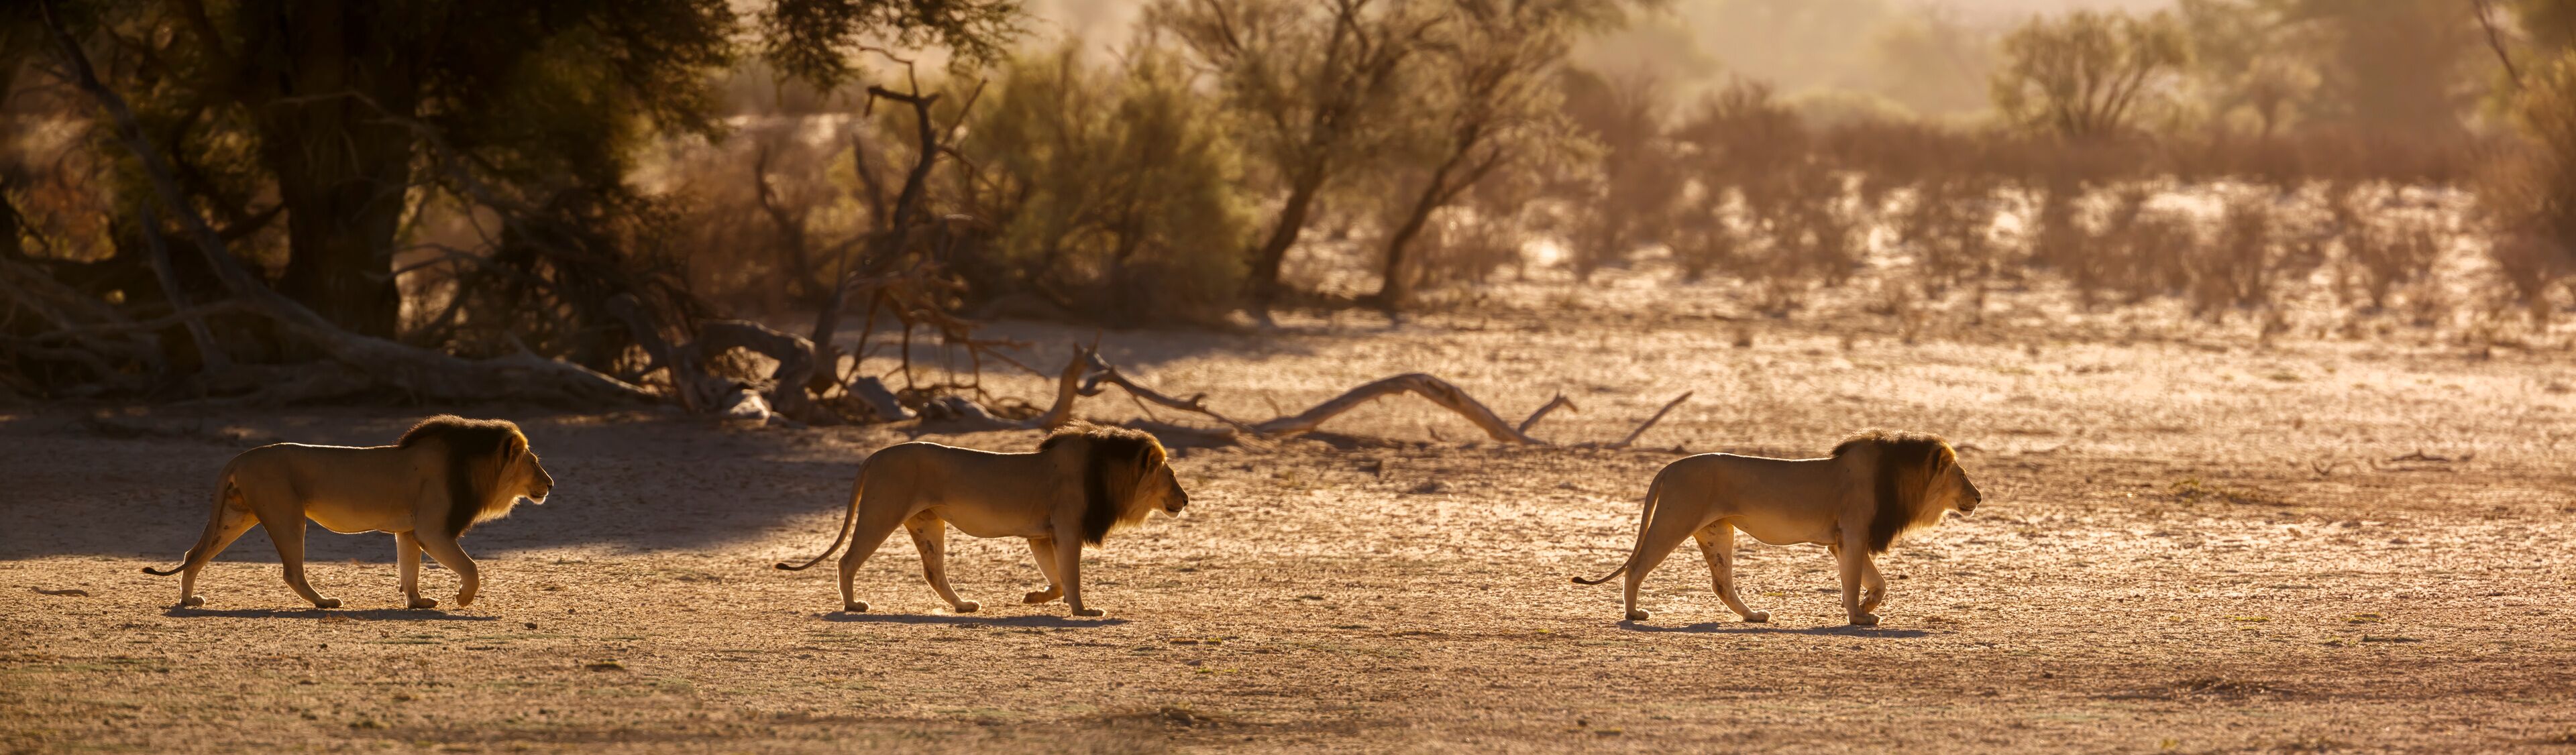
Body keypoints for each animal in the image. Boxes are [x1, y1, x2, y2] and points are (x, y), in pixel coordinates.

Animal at [143, 415, 553, 610]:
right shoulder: (433, 529)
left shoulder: (409, 530)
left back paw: (188, 600)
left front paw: (417, 602)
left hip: (235, 516)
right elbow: (472, 567)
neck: (471, 464)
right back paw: (324, 602)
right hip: (286, 514)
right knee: (292, 572)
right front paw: (463, 599)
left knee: (194, 553)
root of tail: (240, 457)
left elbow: (410, 570)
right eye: (534, 462)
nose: (550, 484)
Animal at [774, 422, 1190, 617]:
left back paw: (962, 607)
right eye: (1171, 476)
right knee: (847, 560)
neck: (1107, 472)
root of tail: (874, 455)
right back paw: (853, 606)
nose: (1186, 499)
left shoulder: (1042, 535)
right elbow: (1071, 576)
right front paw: (1083, 611)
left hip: (928, 523)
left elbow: (1056, 578)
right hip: (883, 512)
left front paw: (1035, 597)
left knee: (933, 572)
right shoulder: (1067, 528)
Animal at [1573, 430, 1981, 626]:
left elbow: (1877, 582)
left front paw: (1867, 606)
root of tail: (1670, 467)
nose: (1979, 497)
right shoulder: (1852, 534)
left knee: (1721, 585)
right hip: (1675, 520)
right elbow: (1852, 582)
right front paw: (1857, 616)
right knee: (1637, 567)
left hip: (1718, 531)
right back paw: (1633, 615)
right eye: (1962, 475)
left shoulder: (1843, 541)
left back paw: (1754, 616)